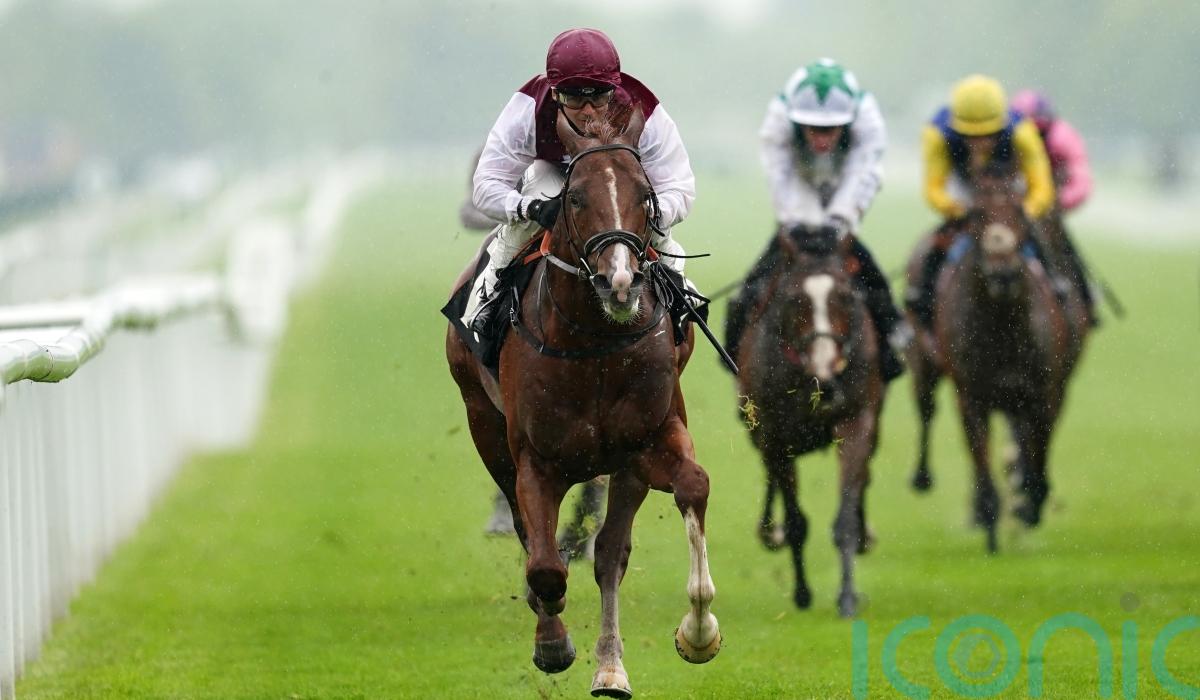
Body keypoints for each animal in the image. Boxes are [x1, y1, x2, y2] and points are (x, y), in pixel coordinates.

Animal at [445, 107, 720, 698]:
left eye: (646, 194)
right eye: (574, 198)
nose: (620, 281)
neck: (593, 341)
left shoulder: (648, 441)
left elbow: (691, 486)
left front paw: (698, 632)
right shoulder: (535, 460)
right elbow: (546, 564)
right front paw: (552, 643)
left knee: (610, 554)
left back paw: (611, 668)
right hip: (483, 424)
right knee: (530, 536)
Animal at [734, 227, 882, 618]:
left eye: (845, 296)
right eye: (794, 299)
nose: (826, 372)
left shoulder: (855, 420)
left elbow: (845, 518)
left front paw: (847, 597)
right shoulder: (775, 436)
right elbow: (796, 521)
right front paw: (802, 593)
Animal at [903, 167, 1086, 552]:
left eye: (1019, 211)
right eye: (975, 214)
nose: (1002, 271)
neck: (1003, 325)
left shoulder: (1044, 390)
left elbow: (1038, 451)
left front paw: (1030, 504)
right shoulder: (972, 396)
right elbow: (981, 458)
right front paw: (990, 520)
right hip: (922, 360)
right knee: (926, 408)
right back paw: (923, 477)